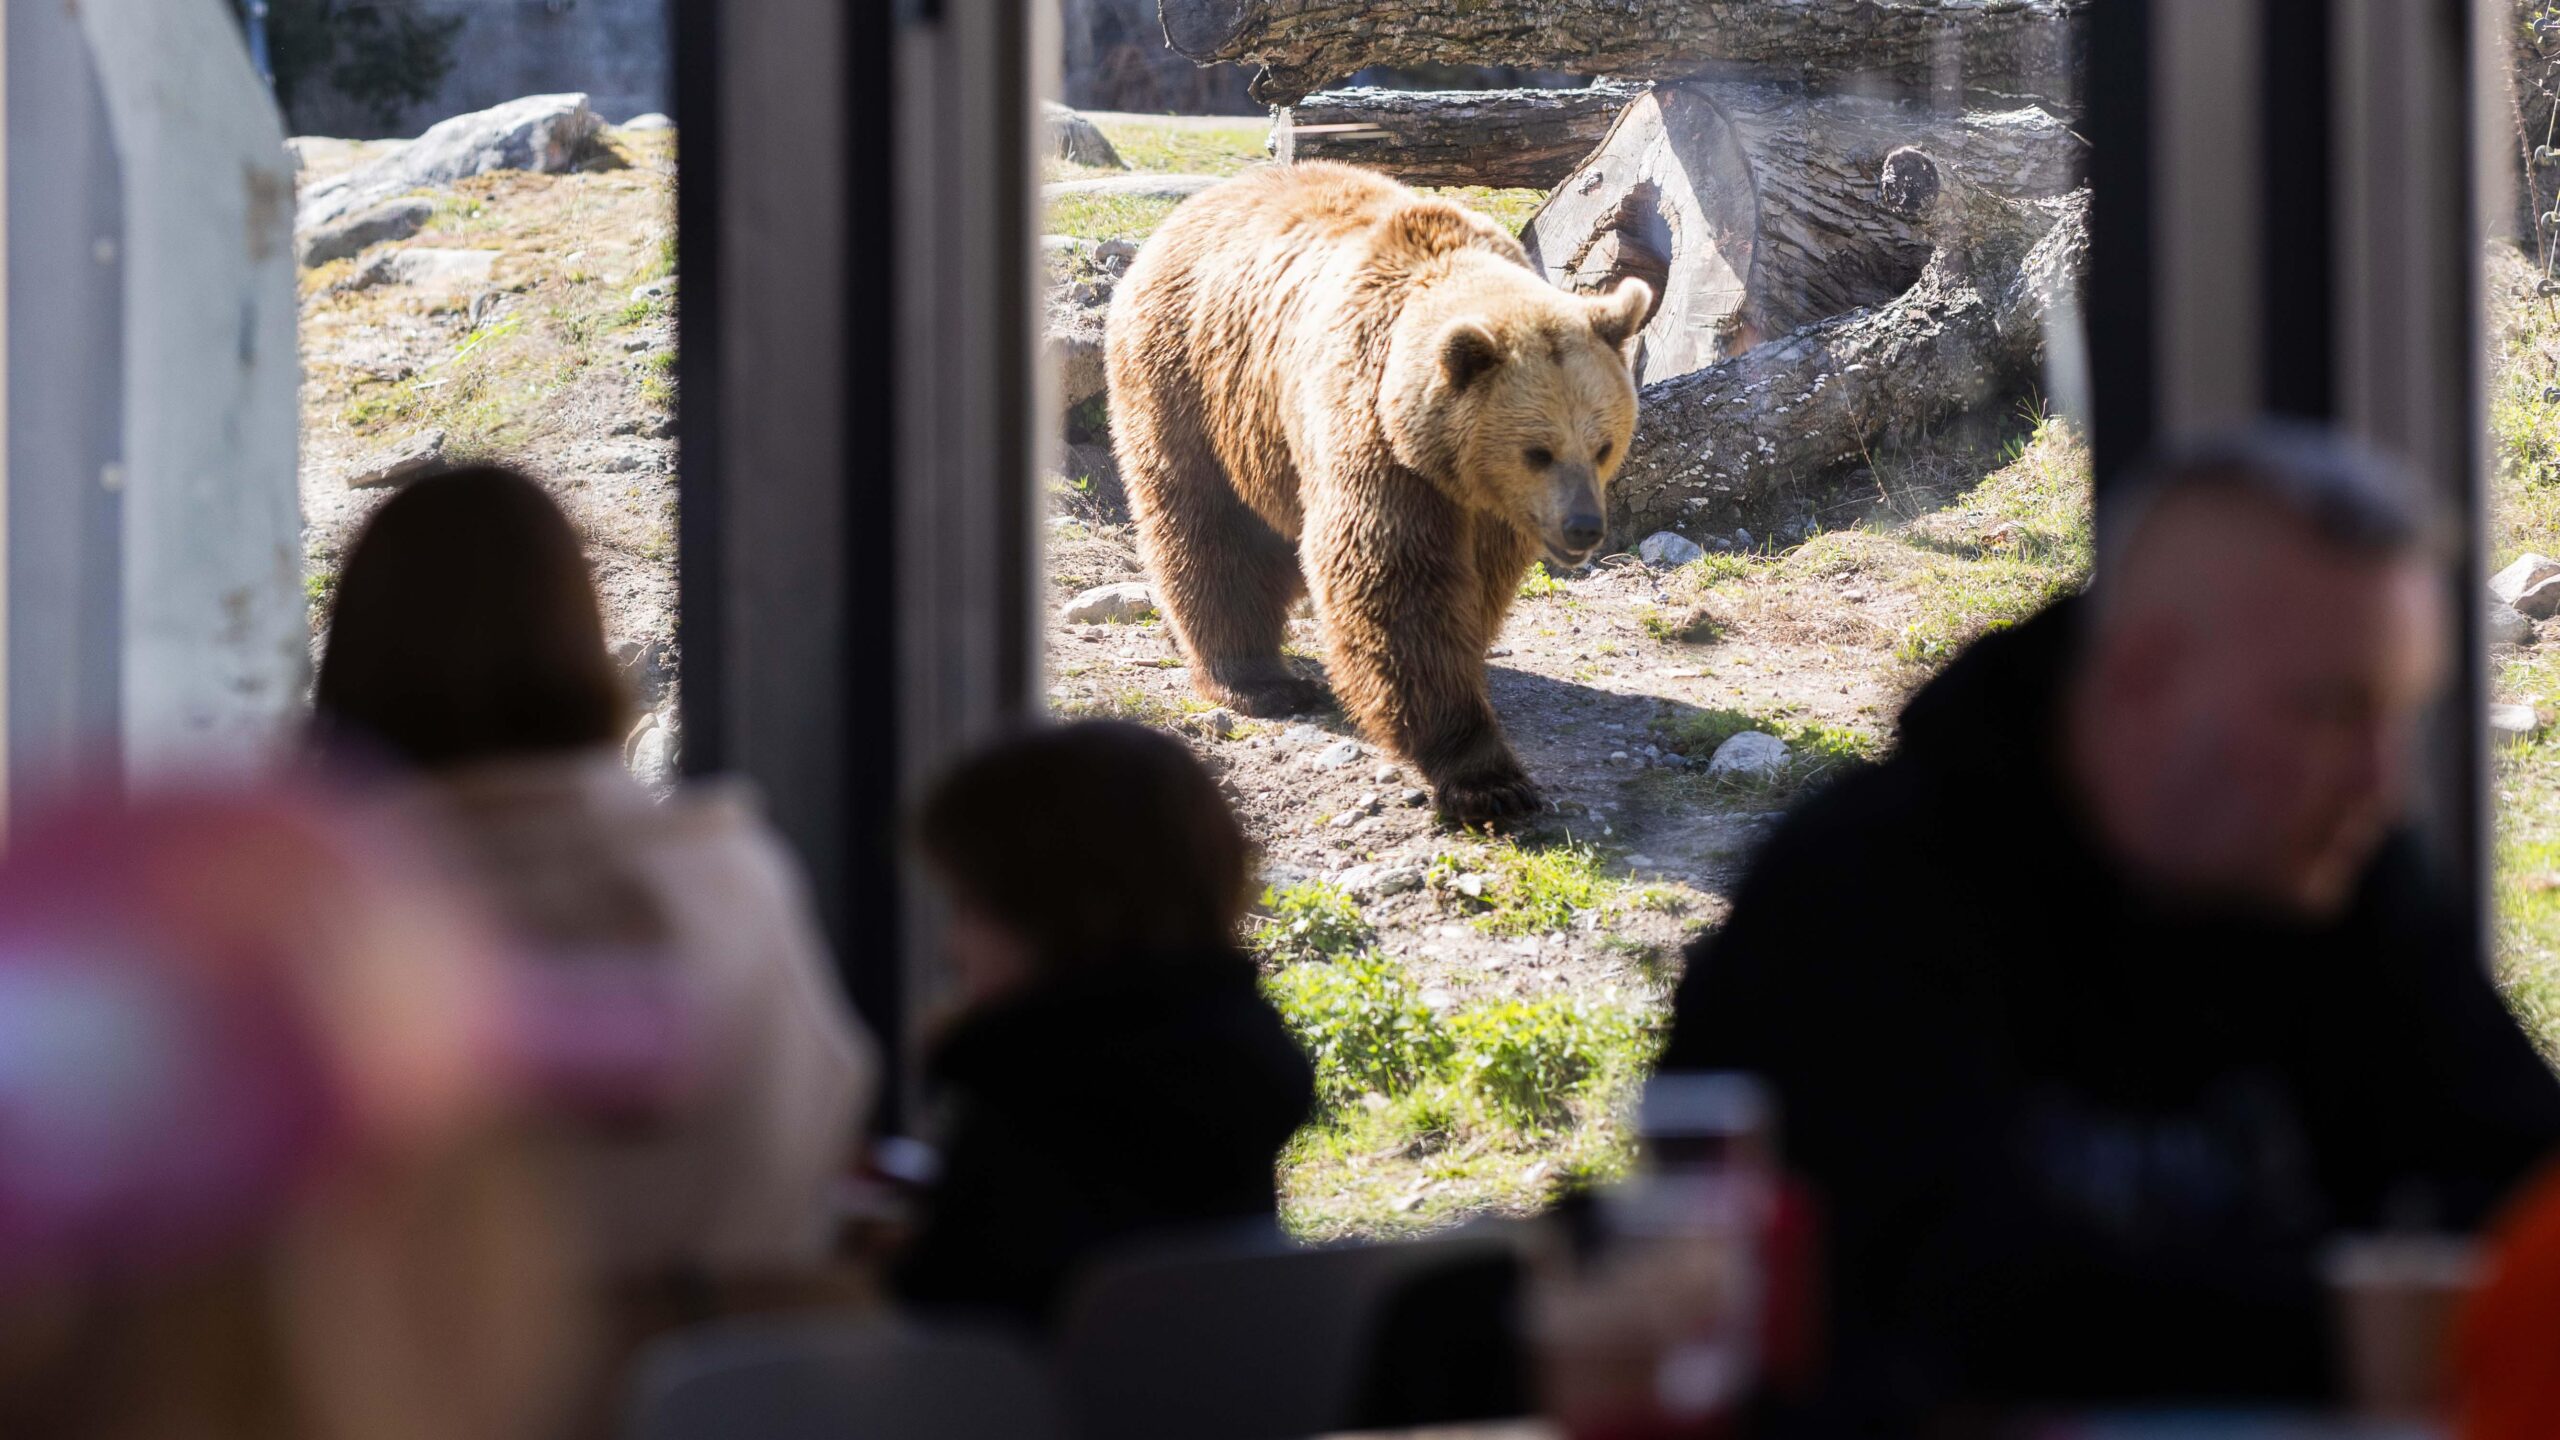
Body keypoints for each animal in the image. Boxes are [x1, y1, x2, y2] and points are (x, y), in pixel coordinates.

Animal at [1100, 159, 1638, 819]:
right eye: (1538, 451)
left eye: (1603, 445)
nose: (1583, 527)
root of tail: (1185, 214)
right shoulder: (1373, 436)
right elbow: (1394, 584)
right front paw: (1487, 778)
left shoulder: (1490, 508)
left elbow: (1475, 587)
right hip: (1195, 383)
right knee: (1209, 532)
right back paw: (1257, 680)